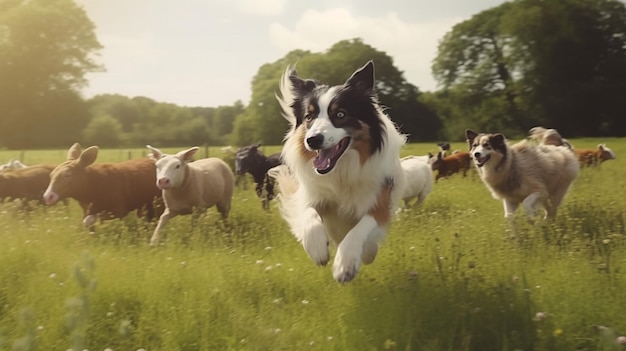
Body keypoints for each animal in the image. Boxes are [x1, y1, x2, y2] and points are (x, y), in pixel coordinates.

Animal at [272, 62, 404, 284]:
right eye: (309, 117)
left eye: (340, 114)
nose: (312, 140)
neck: (341, 170)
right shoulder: (311, 194)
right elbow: (308, 214)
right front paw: (317, 249)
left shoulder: (379, 199)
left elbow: (362, 226)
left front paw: (345, 264)